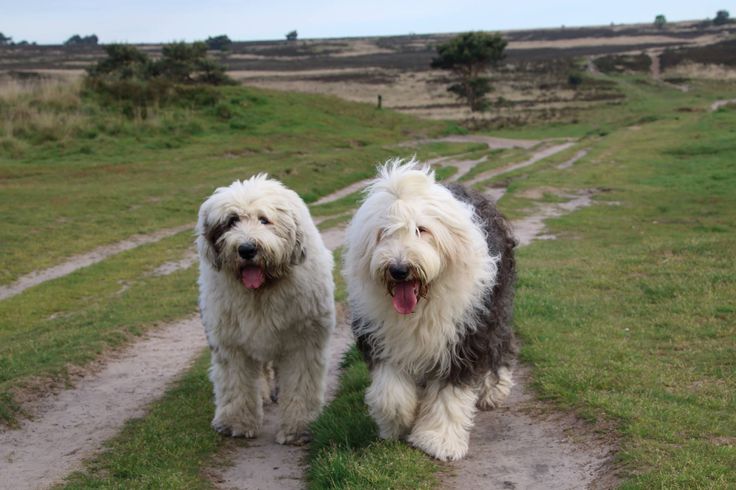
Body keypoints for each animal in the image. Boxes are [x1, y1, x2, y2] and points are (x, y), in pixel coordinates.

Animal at [196, 176, 334, 444]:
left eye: (264, 219)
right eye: (231, 221)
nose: (247, 249)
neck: (261, 292)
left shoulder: (303, 341)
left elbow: (300, 384)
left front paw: (299, 428)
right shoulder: (231, 343)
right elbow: (236, 383)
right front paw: (236, 423)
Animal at [342, 160, 516, 460]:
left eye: (421, 230)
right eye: (383, 232)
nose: (399, 269)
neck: (421, 305)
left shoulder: (462, 338)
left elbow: (449, 394)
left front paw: (439, 440)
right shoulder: (381, 336)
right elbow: (390, 392)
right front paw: (399, 422)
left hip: (495, 306)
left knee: (500, 345)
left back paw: (494, 390)